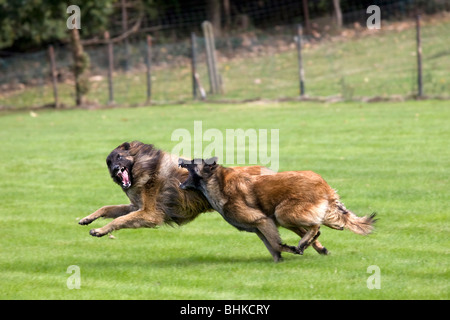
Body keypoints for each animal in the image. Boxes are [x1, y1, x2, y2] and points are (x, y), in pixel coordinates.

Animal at [179, 158, 376, 262]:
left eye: (193, 162)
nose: (181, 160)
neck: (217, 183)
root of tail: (322, 183)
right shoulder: (259, 228)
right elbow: (272, 247)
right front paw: (279, 261)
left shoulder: (262, 220)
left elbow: (275, 244)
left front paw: (289, 249)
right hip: (290, 217)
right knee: (320, 228)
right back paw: (316, 245)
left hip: (283, 213)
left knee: (315, 227)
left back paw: (302, 244)